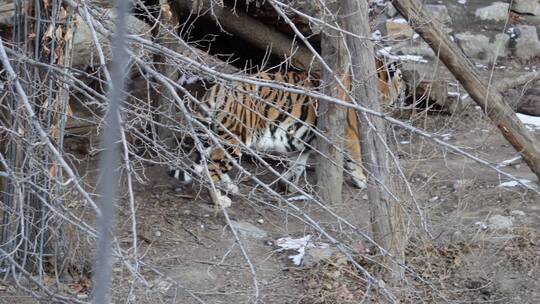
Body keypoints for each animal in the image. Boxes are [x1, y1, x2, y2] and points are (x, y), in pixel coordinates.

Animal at [168, 58, 404, 208]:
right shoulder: (349, 134)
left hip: (219, 135)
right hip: (235, 138)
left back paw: (231, 188)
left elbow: (298, 162)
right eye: (402, 79)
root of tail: (219, 87)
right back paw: (220, 200)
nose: (407, 95)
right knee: (212, 169)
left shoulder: (305, 139)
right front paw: (362, 180)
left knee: (208, 162)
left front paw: (287, 183)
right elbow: (356, 158)